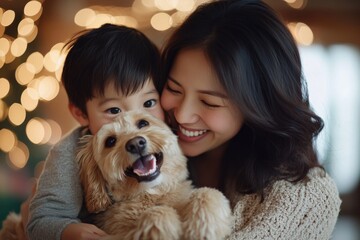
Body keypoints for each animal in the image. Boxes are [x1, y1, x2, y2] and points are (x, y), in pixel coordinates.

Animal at [77, 110, 232, 240]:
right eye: (110, 141)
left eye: (143, 123)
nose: (136, 143)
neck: (153, 193)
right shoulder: (117, 234)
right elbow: (157, 213)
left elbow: (208, 193)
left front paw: (204, 227)